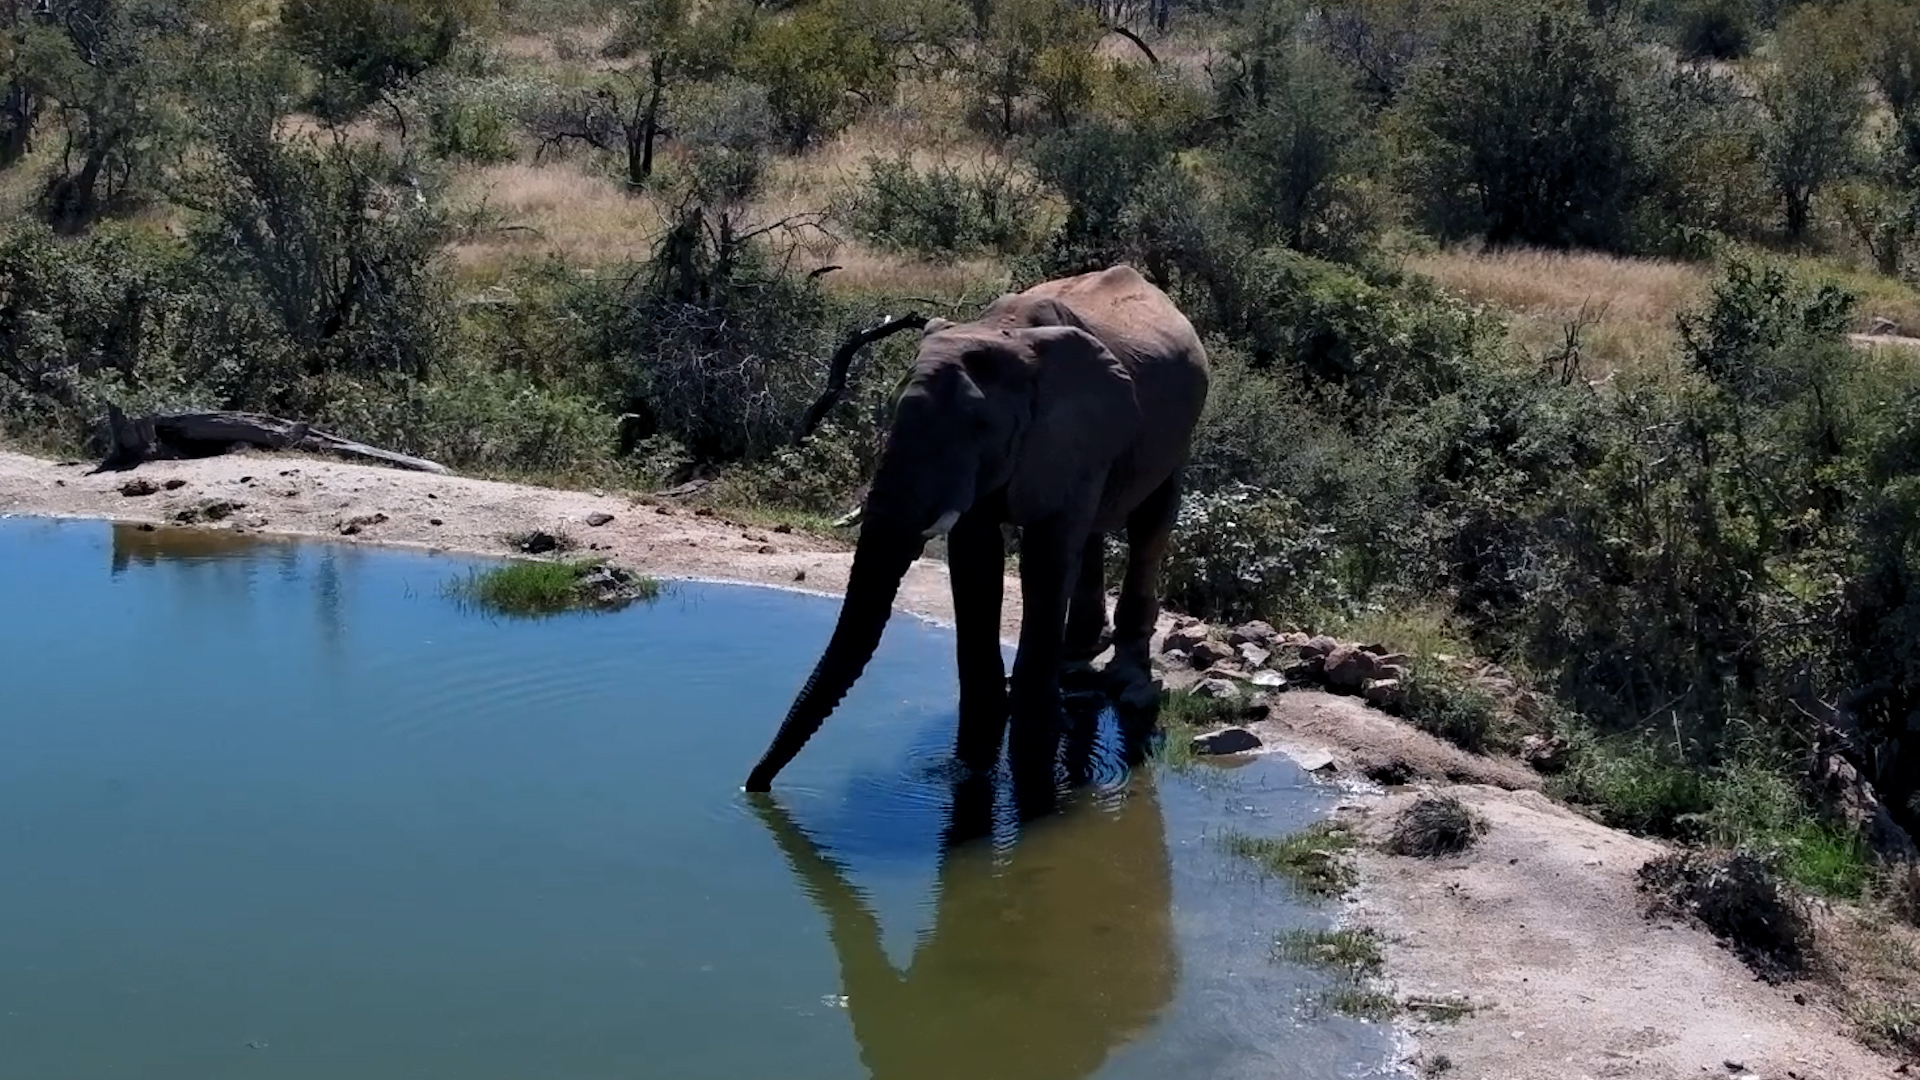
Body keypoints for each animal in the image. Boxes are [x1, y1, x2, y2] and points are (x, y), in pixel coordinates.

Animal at [744, 264, 1209, 792]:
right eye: (892, 411)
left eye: (981, 425)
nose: (754, 786)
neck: (1003, 333)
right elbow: (975, 558)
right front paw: (978, 749)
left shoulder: (1068, 431)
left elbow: (1045, 557)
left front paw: (1033, 754)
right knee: (1091, 533)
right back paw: (1074, 659)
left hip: (1180, 427)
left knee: (1150, 524)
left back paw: (1125, 677)